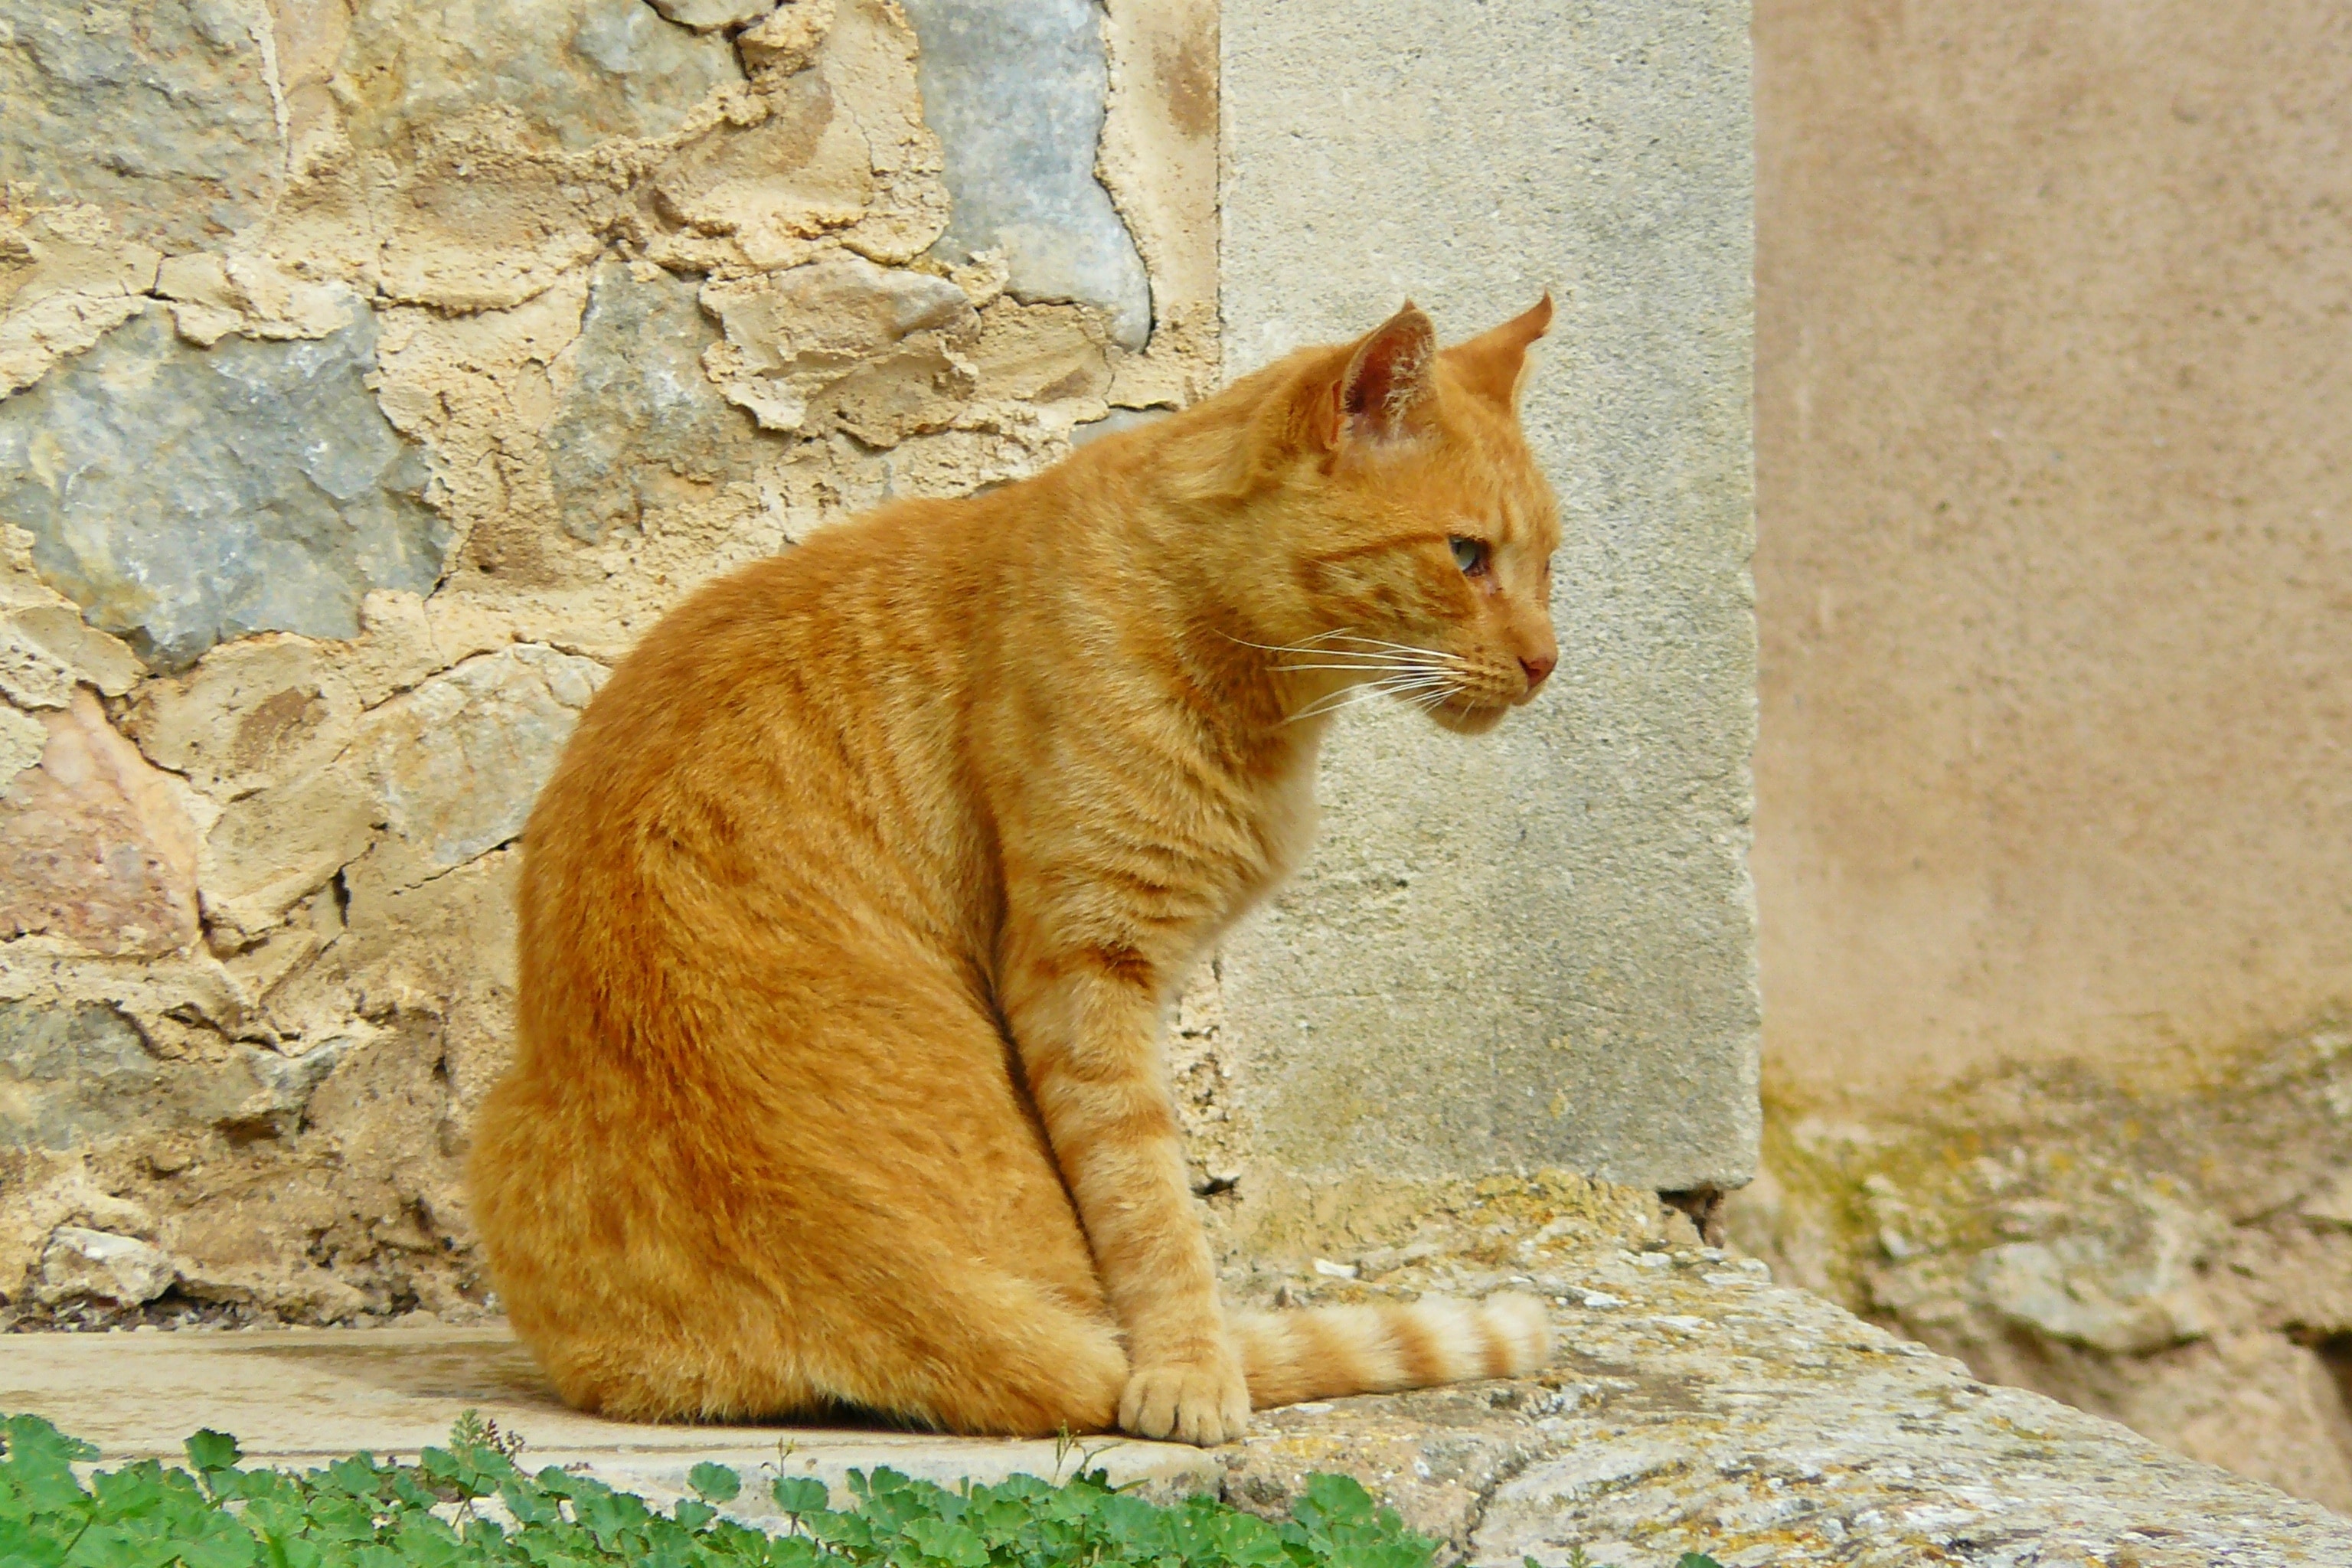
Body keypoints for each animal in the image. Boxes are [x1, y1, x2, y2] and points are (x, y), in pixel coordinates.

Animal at [463, 293, 1561, 1448]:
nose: (1547, 660)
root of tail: (883, 1275)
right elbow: (1147, 1197)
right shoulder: (1083, 969)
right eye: (1468, 555)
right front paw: (1189, 1368)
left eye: (1548, 564)